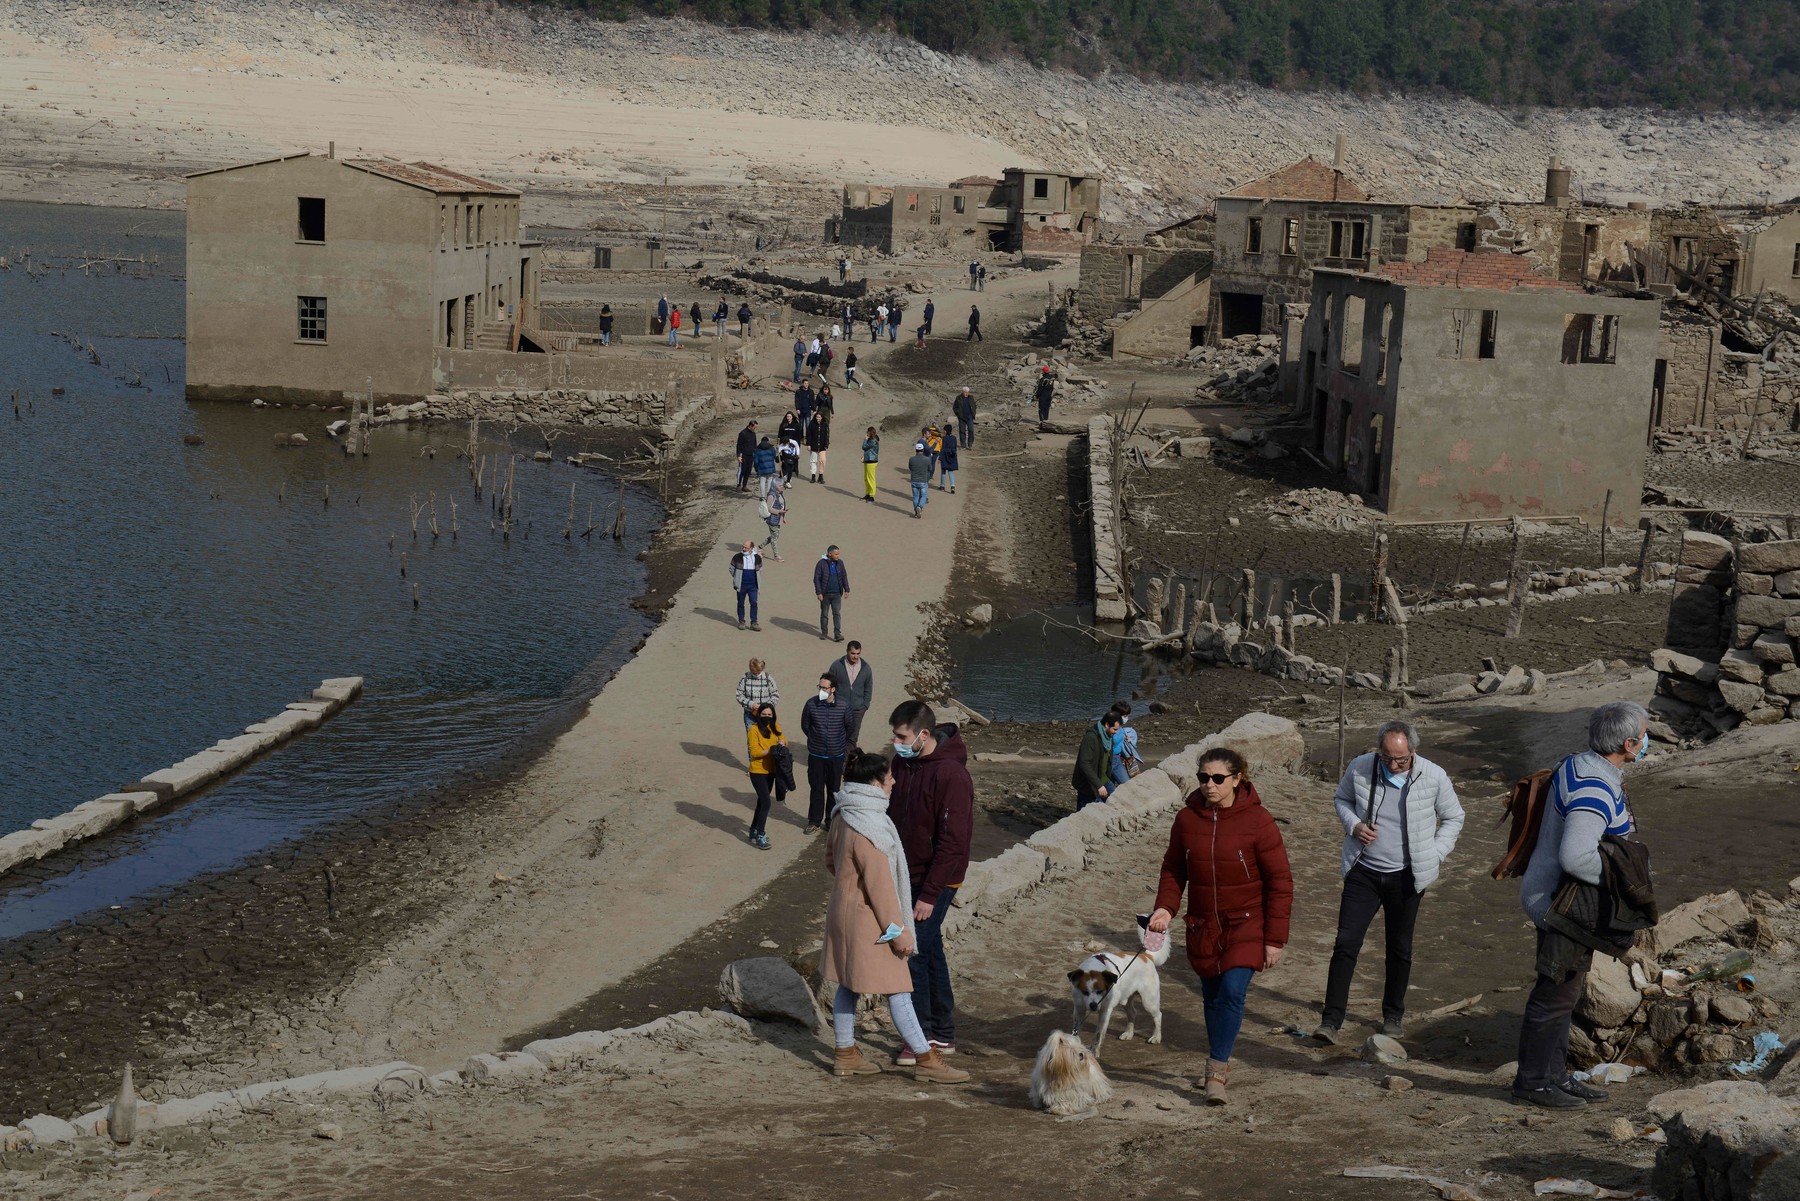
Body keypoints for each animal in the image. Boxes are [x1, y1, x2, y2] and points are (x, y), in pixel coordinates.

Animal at [1058, 914, 1173, 1058]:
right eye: (1085, 992)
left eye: (1100, 991)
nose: (1093, 1006)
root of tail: (1146, 956)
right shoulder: (1079, 1011)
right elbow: (1076, 1032)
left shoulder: (1105, 1012)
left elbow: (1098, 1035)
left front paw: (1094, 1052)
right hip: (1126, 999)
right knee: (1133, 1013)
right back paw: (1129, 1033)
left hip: (1149, 1001)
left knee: (1158, 1016)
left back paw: (1156, 1037)